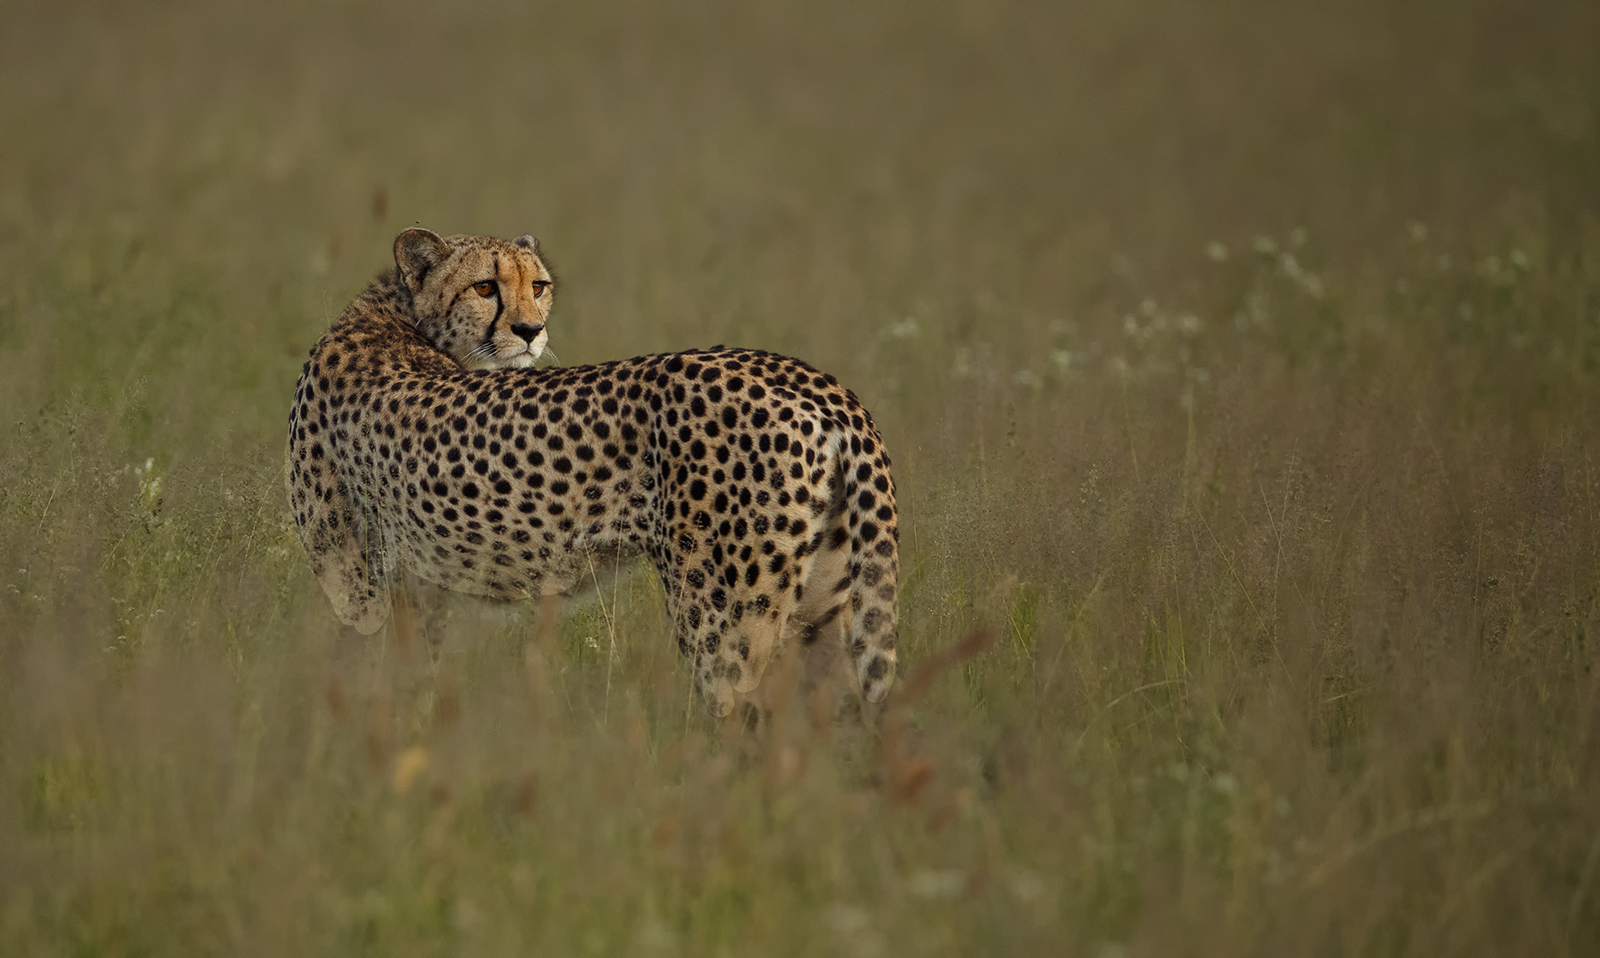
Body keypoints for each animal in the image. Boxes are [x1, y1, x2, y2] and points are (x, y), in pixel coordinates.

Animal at [287, 228, 899, 718]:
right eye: (485, 287)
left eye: (537, 285)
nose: (530, 330)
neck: (395, 318)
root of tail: (812, 379)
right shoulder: (418, 589)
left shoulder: (358, 587)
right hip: (820, 609)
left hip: (722, 614)